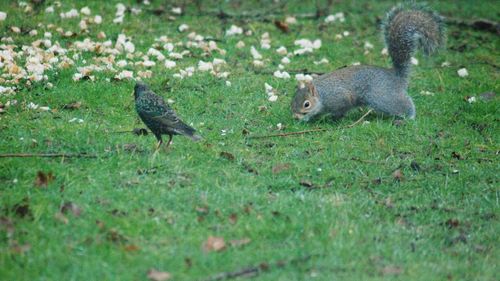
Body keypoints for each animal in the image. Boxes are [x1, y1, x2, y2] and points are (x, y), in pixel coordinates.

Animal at [292, 3, 448, 121]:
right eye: (292, 101)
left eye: (306, 104)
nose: (295, 116)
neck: (322, 95)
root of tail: (396, 76)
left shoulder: (339, 98)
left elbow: (341, 111)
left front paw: (333, 119)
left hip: (383, 97)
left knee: (403, 105)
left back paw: (408, 117)